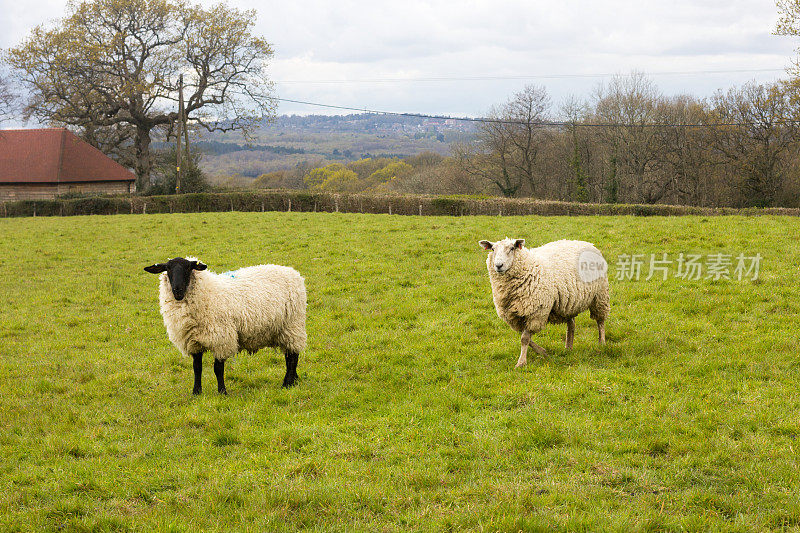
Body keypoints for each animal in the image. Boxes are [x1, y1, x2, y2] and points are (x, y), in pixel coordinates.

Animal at [144, 256, 306, 392]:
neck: (207, 293)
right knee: (289, 356)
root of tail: (293, 272)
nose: (177, 290)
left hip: (293, 325)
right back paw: (293, 380)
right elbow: (197, 368)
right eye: (167, 269)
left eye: (189, 268)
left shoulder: (221, 339)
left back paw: (287, 383)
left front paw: (222, 391)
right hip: (283, 329)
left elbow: (218, 369)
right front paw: (196, 392)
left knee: (293, 356)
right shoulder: (194, 342)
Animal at [478, 237, 608, 366]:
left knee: (600, 321)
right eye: (493, 249)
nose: (498, 265)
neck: (528, 267)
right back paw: (568, 347)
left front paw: (521, 362)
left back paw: (602, 343)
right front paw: (542, 352)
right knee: (571, 324)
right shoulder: (515, 316)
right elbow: (525, 337)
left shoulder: (536, 313)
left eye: (512, 248)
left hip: (600, 295)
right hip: (569, 302)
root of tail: (586, 243)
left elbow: (524, 338)